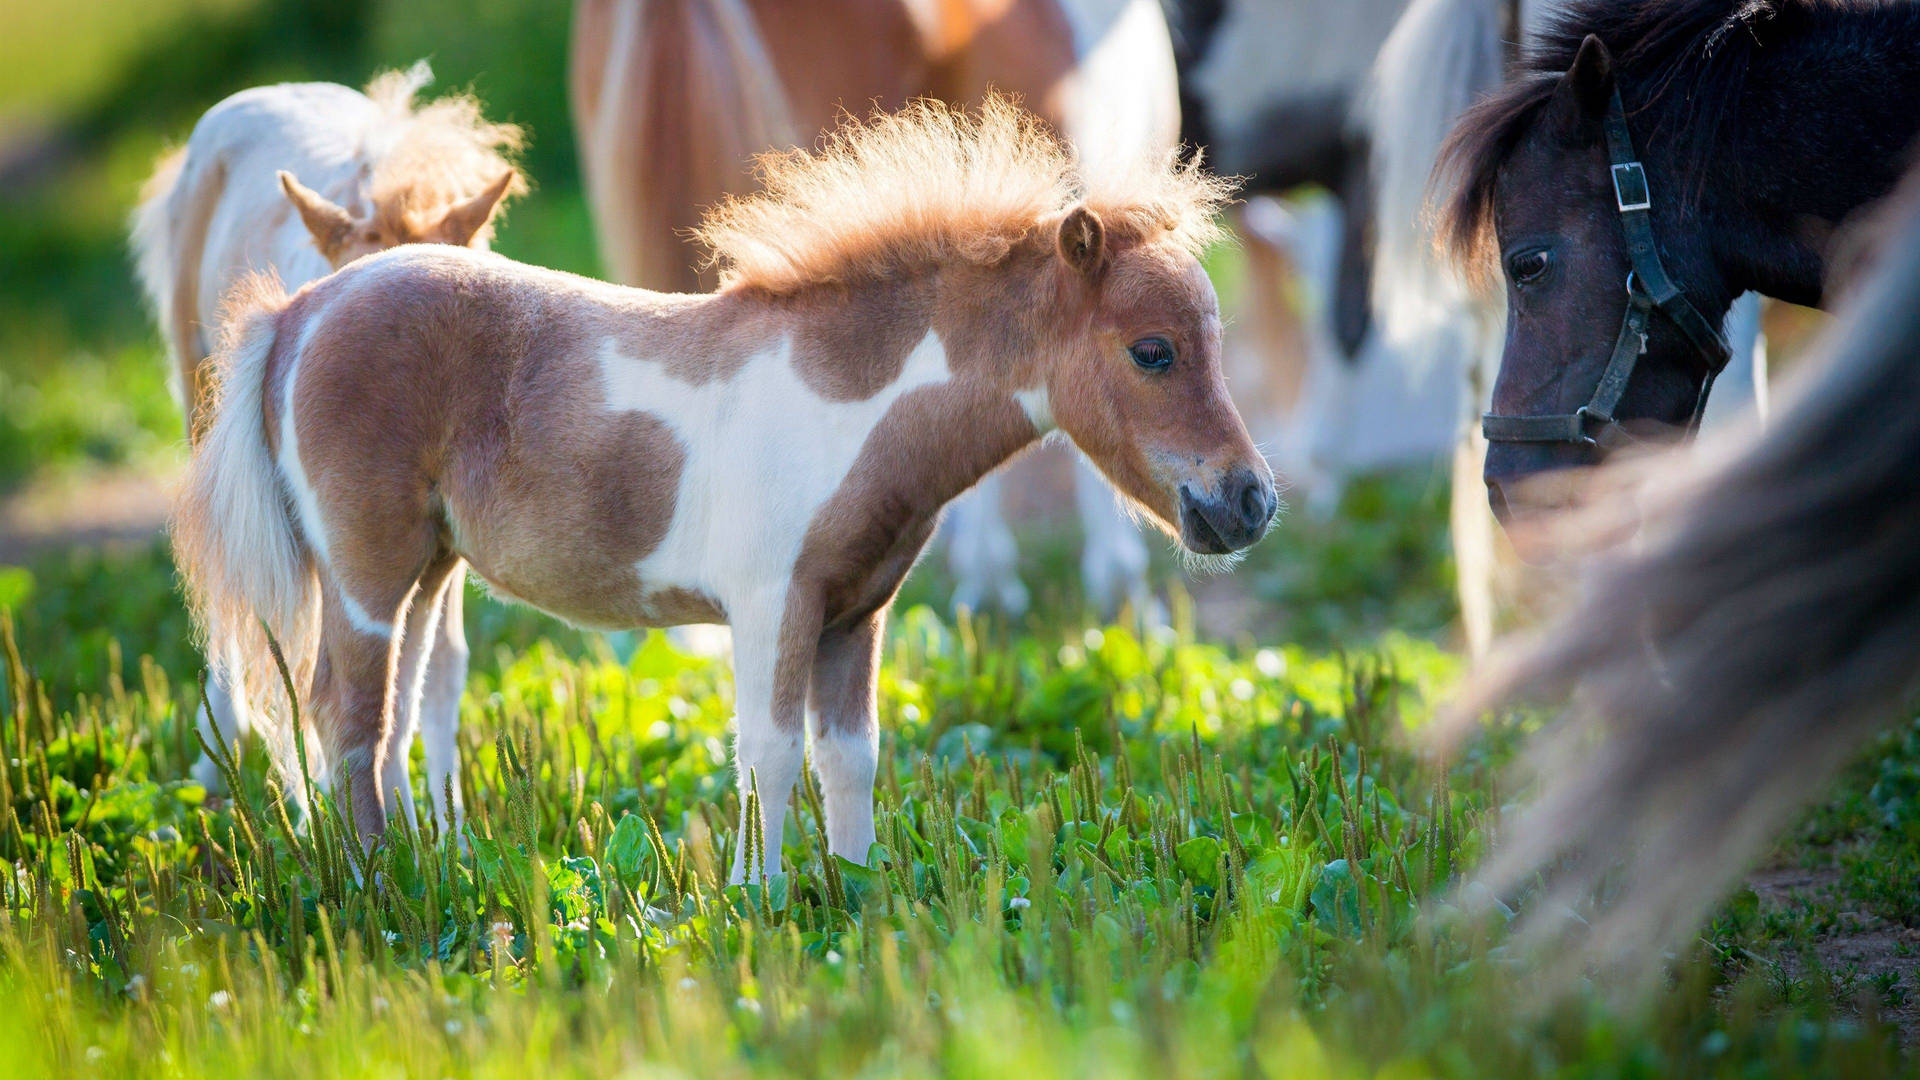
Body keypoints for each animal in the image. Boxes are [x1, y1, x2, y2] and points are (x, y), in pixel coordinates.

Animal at [131, 63, 522, 819]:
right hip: (208, 417)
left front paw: (445, 827)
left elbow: (439, 664)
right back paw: (219, 766)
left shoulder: (444, 527)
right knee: (235, 607)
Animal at [170, 98, 1275, 875]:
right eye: (1153, 351)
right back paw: (378, 889)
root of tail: (303, 310)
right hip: (363, 571)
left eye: (1216, 341)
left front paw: (855, 897)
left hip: (432, 571)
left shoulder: (856, 614)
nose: (1250, 501)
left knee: (396, 718)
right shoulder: (772, 603)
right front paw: (759, 902)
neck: (846, 400)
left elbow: (850, 755)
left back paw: (424, 868)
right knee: (343, 716)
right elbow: (768, 753)